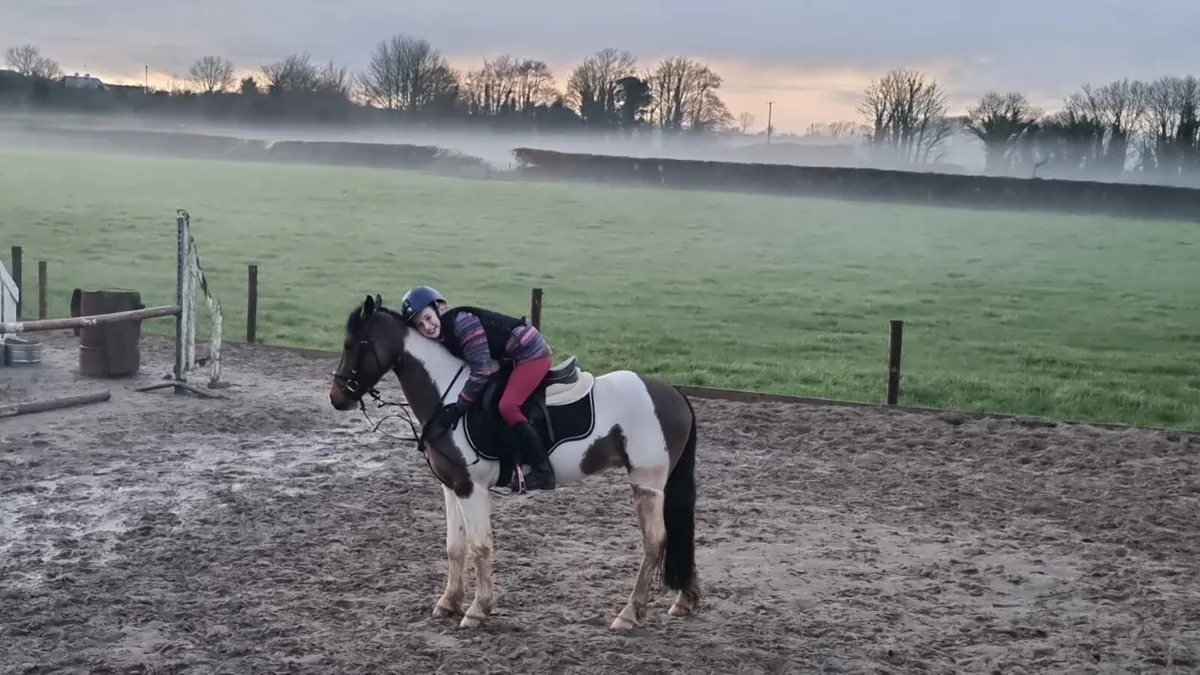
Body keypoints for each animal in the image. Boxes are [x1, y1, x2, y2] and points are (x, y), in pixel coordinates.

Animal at [327, 294, 701, 631]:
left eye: (351, 344)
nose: (337, 397)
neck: (450, 398)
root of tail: (673, 394)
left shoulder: (472, 488)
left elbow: (480, 547)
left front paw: (477, 610)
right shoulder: (452, 487)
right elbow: (454, 547)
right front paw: (448, 603)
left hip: (646, 483)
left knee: (655, 541)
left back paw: (629, 613)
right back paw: (685, 601)